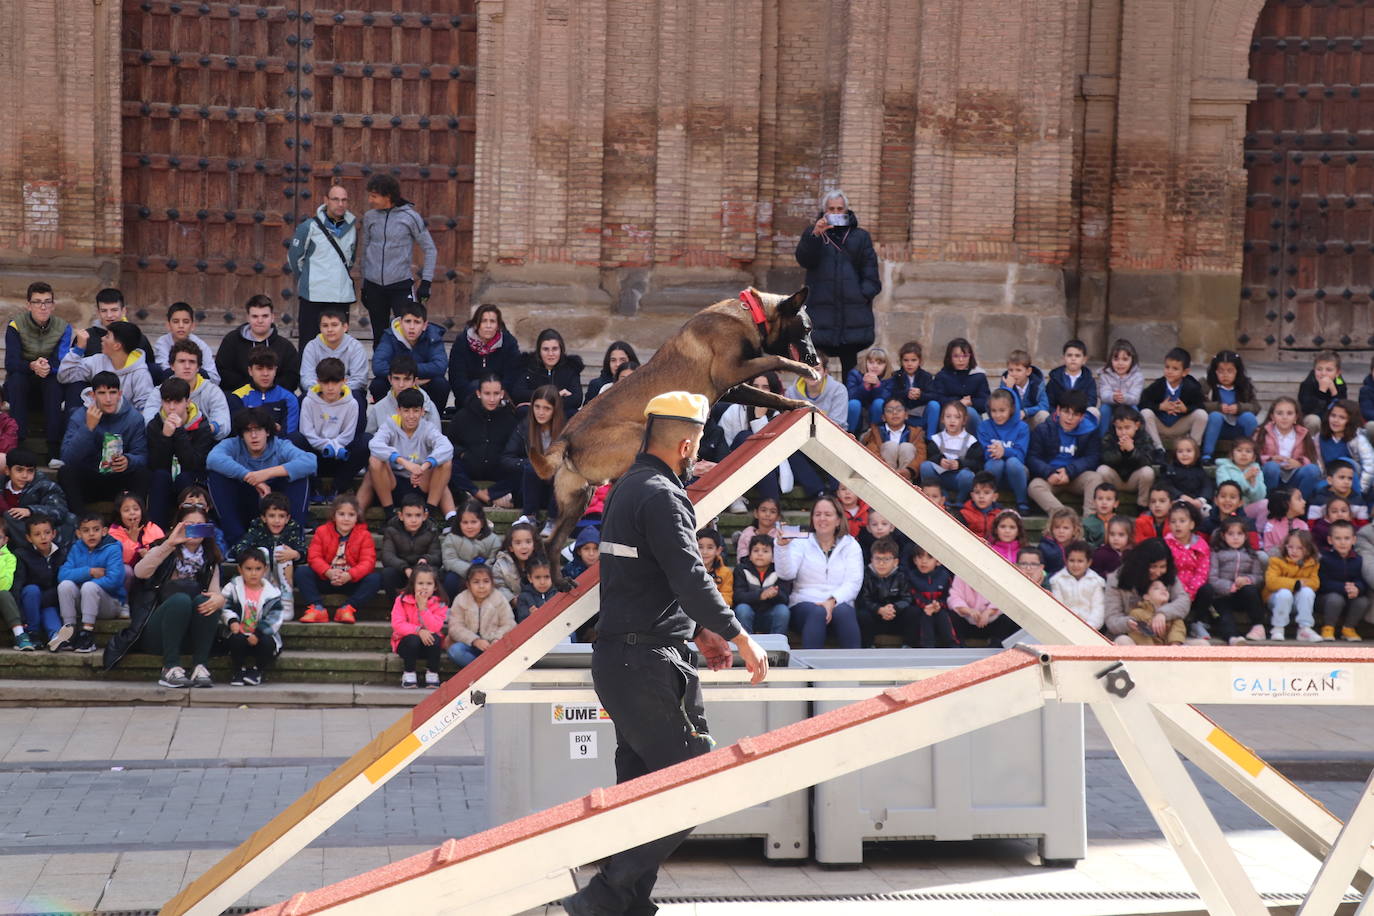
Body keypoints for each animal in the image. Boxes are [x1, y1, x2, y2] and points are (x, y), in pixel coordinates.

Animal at [530, 284, 818, 579]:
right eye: (807, 329)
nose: (815, 358)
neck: (752, 312)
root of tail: (566, 437)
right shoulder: (730, 371)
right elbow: (776, 358)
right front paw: (805, 370)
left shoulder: (735, 386)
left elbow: (771, 396)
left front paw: (797, 404)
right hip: (636, 438)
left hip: (578, 497)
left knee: (552, 542)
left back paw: (561, 583)